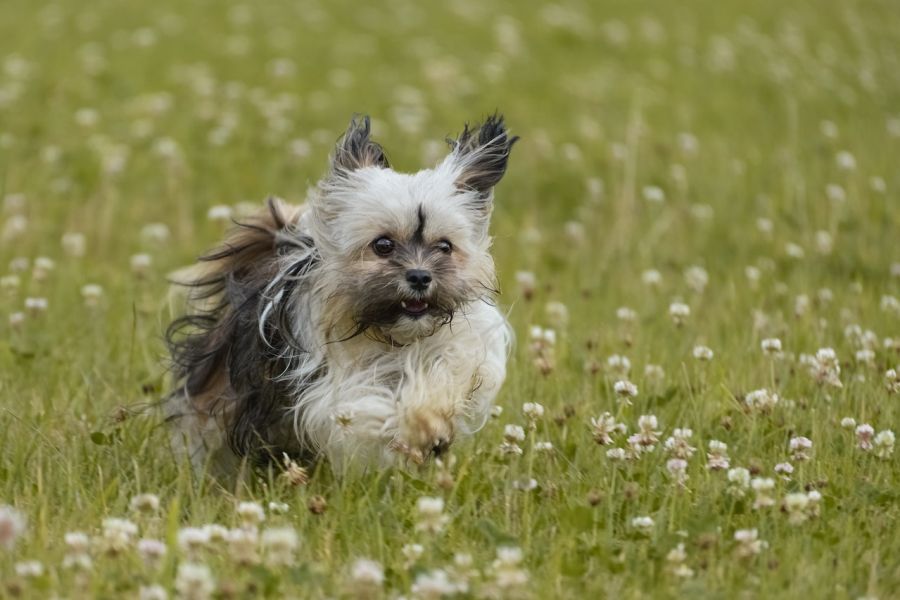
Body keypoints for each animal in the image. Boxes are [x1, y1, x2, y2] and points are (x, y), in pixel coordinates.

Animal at [162, 113, 512, 474]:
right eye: (383, 244)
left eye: (444, 246)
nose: (419, 276)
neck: (391, 335)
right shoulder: (330, 386)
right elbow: (363, 406)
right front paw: (412, 427)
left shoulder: (460, 349)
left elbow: (445, 375)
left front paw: (427, 421)